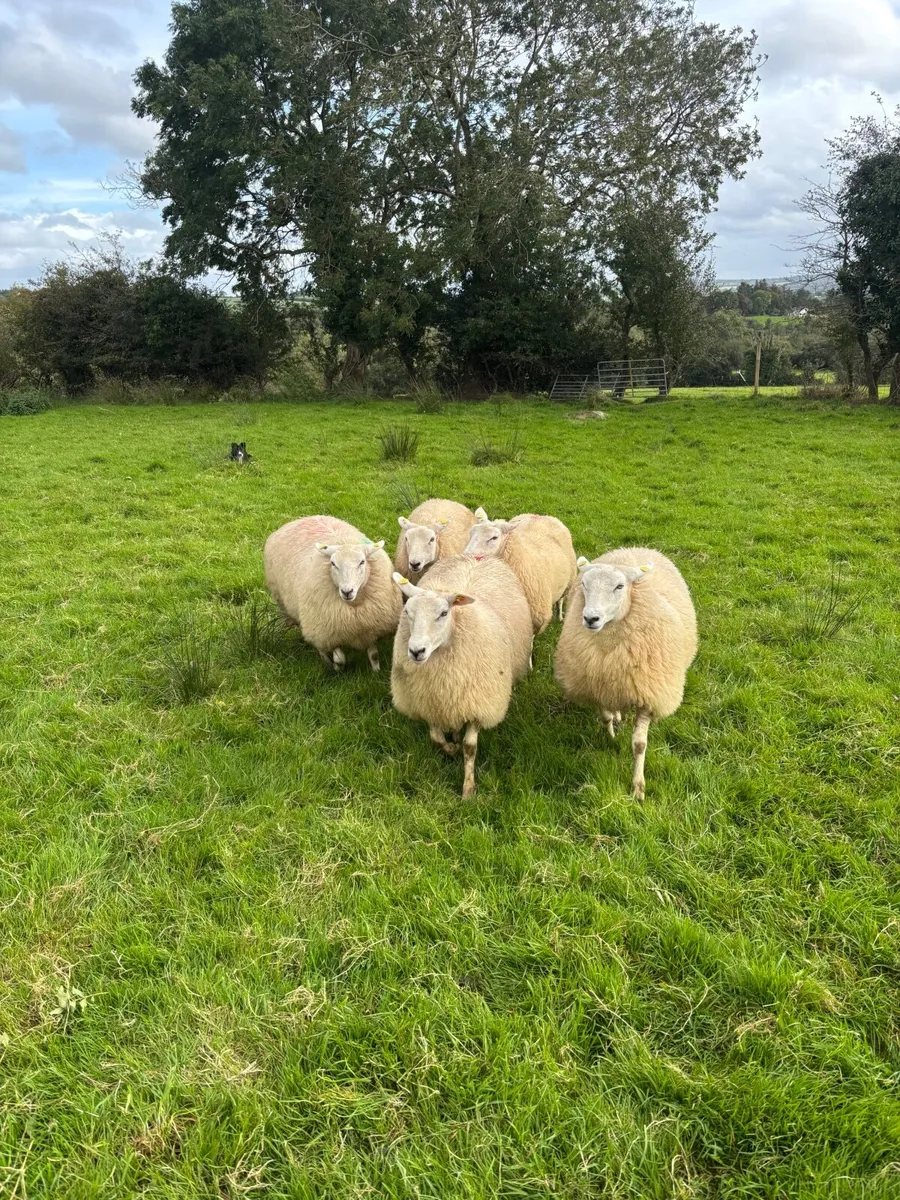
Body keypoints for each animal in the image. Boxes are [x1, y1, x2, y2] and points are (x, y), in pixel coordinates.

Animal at [264, 515, 401, 671]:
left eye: (362, 562)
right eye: (333, 563)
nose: (347, 591)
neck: (354, 605)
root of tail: (302, 518)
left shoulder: (368, 626)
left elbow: (374, 655)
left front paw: (376, 671)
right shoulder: (330, 631)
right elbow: (340, 658)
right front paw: (337, 669)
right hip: (308, 619)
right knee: (319, 645)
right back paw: (327, 661)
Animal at [390, 554, 533, 798]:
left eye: (443, 613)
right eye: (407, 612)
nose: (416, 651)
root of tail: (478, 557)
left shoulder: (478, 704)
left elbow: (470, 747)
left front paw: (468, 789)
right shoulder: (427, 701)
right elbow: (436, 739)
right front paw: (450, 748)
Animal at [553, 547, 698, 798]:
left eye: (619, 586)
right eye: (584, 584)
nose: (590, 618)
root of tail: (633, 549)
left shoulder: (648, 694)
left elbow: (639, 745)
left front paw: (638, 787)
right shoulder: (595, 685)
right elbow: (605, 717)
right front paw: (611, 738)